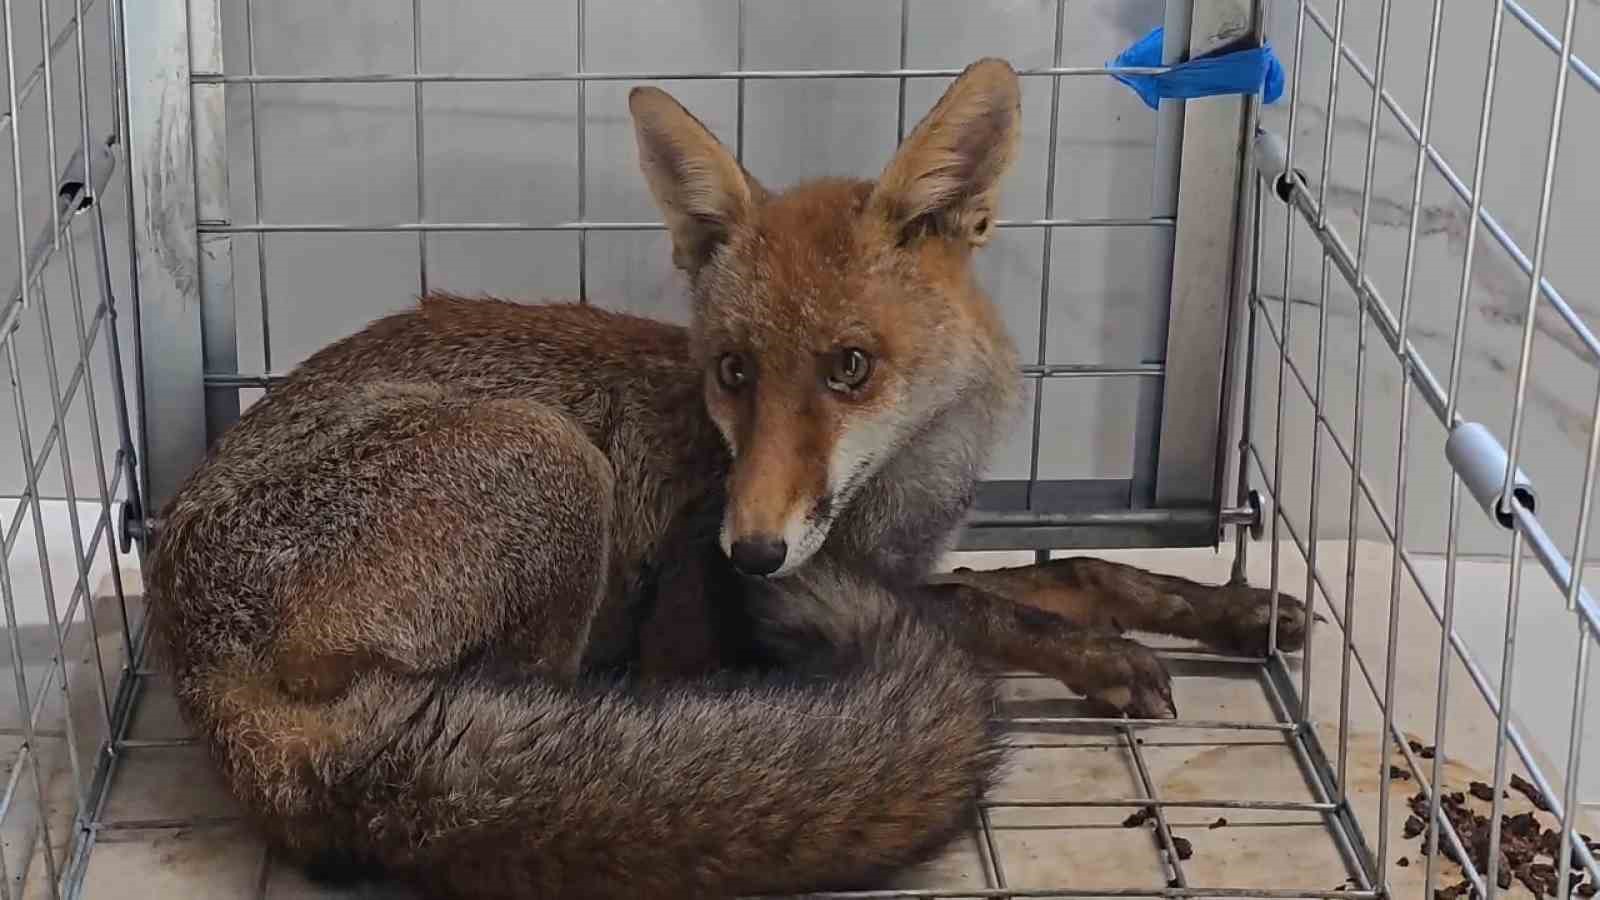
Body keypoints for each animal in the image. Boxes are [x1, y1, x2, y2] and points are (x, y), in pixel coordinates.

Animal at [144, 57, 1305, 896]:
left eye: (849, 367)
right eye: (734, 371)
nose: (746, 550)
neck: (906, 490)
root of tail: (198, 664)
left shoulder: (894, 563)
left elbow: (1079, 571)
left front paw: (1228, 609)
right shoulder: (775, 596)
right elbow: (989, 604)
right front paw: (1103, 659)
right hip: (555, 465)